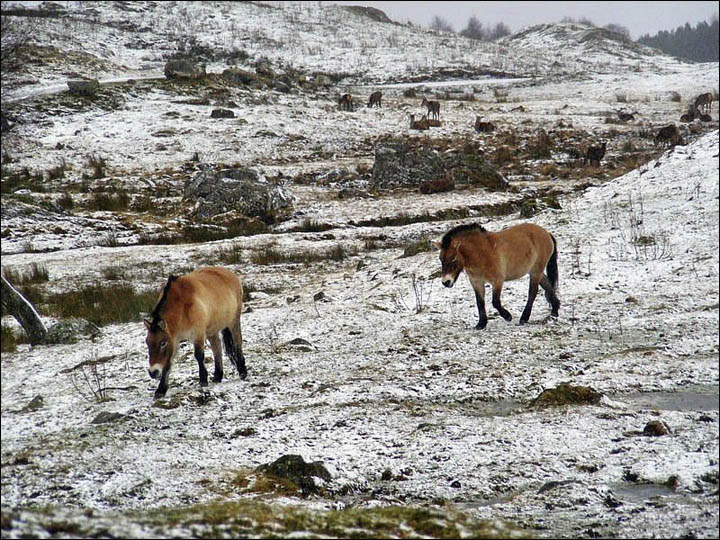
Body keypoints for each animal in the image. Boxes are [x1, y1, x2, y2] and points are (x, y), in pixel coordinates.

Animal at [144, 266, 248, 398]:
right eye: (147, 343)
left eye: (163, 343)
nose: (153, 372)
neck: (181, 306)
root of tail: (231, 274)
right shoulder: (174, 339)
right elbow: (168, 363)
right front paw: (161, 390)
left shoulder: (198, 333)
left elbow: (199, 355)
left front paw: (203, 380)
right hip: (212, 330)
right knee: (217, 348)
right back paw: (218, 376)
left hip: (233, 322)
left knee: (238, 343)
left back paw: (242, 371)